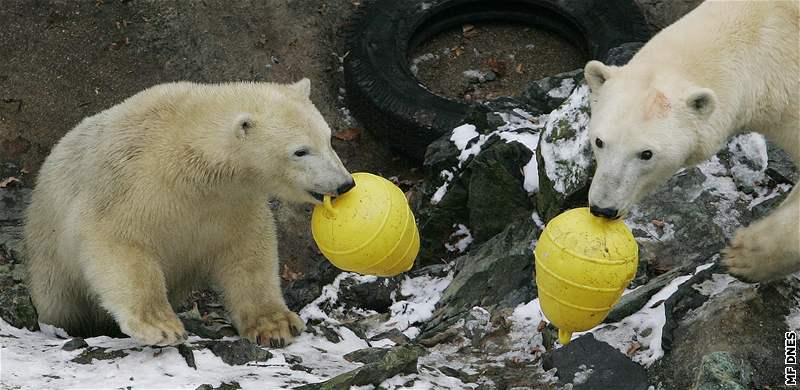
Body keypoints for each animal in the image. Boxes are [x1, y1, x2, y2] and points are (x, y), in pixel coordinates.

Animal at [23, 78, 354, 344]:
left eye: (328, 138)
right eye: (300, 151)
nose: (344, 184)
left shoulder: (232, 203)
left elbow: (249, 253)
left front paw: (275, 324)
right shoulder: (129, 184)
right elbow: (119, 242)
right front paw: (159, 326)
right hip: (49, 259)